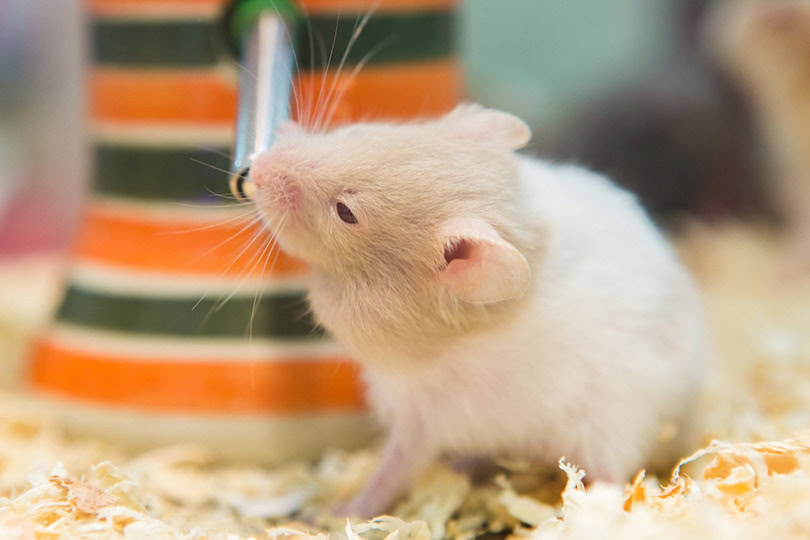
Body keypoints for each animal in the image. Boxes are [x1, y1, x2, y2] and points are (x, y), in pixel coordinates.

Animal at [243, 104, 707, 518]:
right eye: (356, 132)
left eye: (346, 213)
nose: (255, 168)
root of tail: (687, 413)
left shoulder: (419, 419)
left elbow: (391, 472)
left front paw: (338, 513)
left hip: (609, 428)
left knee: (611, 474)